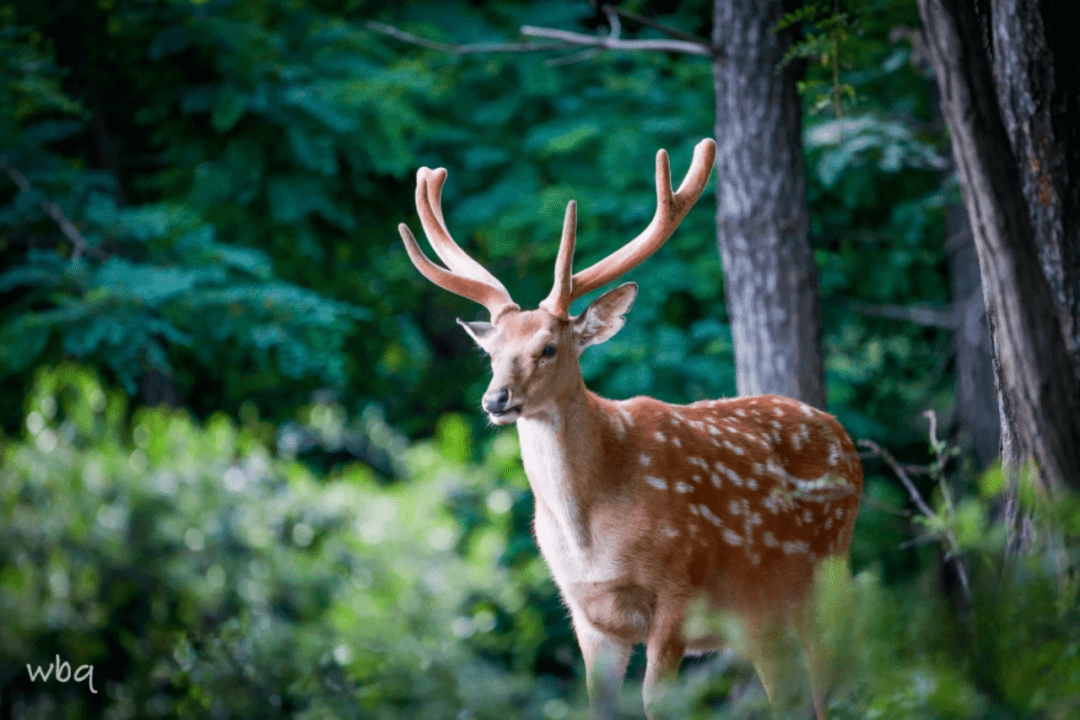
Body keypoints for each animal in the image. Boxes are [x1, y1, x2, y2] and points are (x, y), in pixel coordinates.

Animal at [397, 136, 859, 720]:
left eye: (549, 348)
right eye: (491, 354)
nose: (495, 399)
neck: (591, 537)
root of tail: (845, 437)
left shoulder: (678, 588)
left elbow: (658, 704)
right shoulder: (587, 614)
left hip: (828, 570)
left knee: (831, 688)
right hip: (761, 614)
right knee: (790, 692)